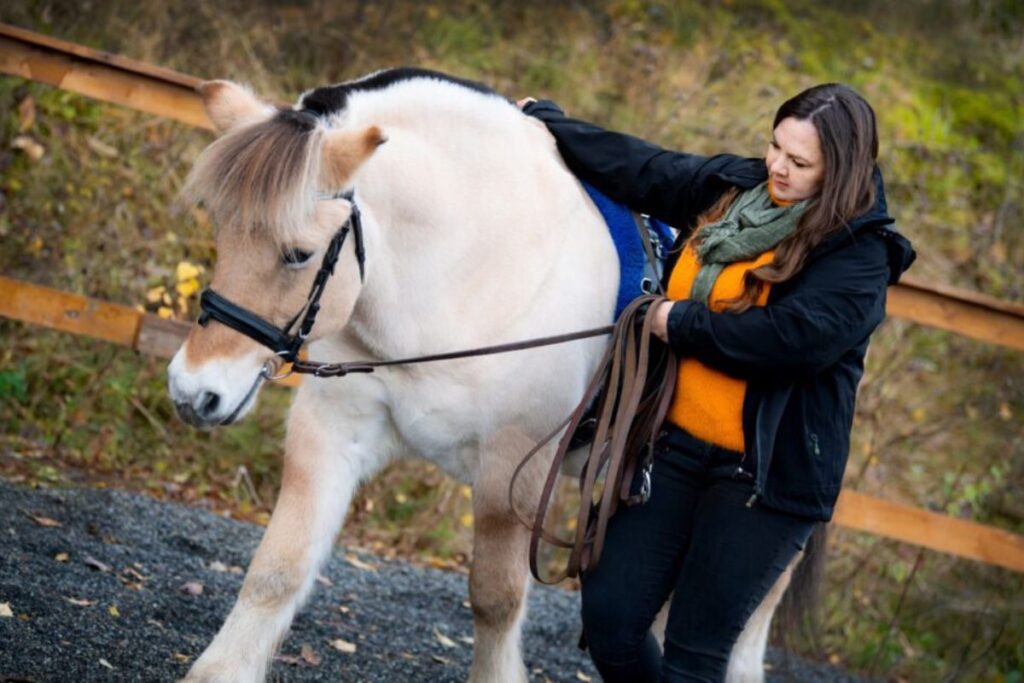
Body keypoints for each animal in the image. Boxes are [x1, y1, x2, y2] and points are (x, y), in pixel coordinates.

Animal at [165, 65, 798, 683]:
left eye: (298, 254)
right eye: (220, 227)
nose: (194, 391)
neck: (468, 270)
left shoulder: (513, 470)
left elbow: (495, 601)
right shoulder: (332, 431)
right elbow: (277, 568)